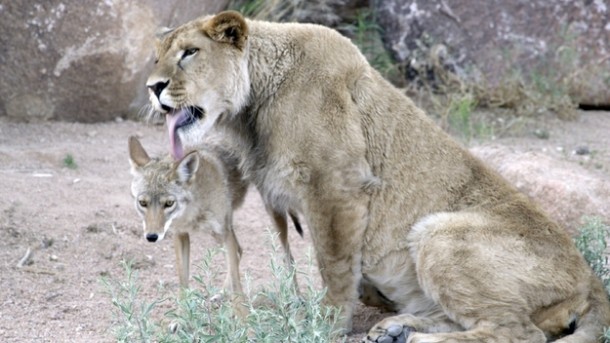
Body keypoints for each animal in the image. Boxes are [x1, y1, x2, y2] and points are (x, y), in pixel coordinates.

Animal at [144, 10, 608, 342]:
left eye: (189, 52)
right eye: (157, 56)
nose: (152, 86)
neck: (250, 107)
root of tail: (591, 280)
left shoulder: (336, 184)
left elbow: (332, 263)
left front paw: (323, 323)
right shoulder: (274, 196)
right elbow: (285, 261)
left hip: (439, 232)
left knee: (519, 332)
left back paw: (416, 338)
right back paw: (396, 328)